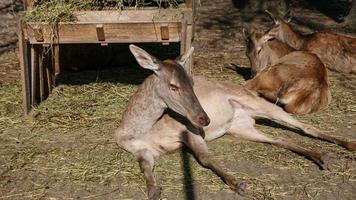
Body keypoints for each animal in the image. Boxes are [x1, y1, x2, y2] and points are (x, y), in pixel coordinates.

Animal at [115, 44, 354, 199]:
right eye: (173, 85)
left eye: (192, 82)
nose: (205, 119)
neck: (142, 131)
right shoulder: (143, 150)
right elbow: (145, 166)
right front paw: (153, 190)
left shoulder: (189, 129)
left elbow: (205, 158)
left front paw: (237, 183)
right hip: (240, 127)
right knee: (277, 139)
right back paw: (320, 156)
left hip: (256, 101)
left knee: (305, 125)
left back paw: (347, 145)